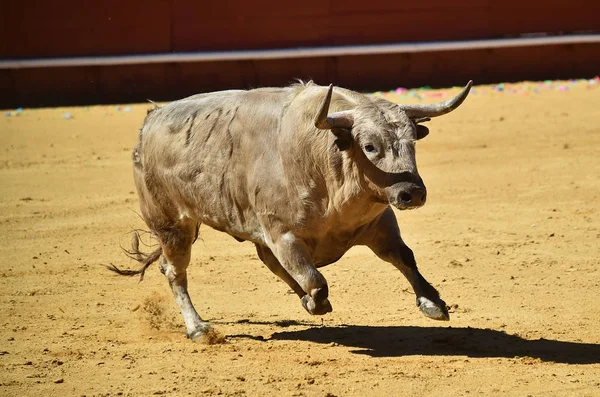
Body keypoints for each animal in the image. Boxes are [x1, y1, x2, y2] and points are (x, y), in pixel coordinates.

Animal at [109, 80, 474, 340]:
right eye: (370, 146)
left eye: (413, 142)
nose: (411, 193)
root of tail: (151, 120)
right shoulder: (282, 234)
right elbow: (316, 281)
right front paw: (315, 301)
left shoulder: (379, 223)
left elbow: (404, 258)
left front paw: (433, 303)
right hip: (171, 224)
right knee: (175, 272)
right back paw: (198, 329)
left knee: (268, 265)